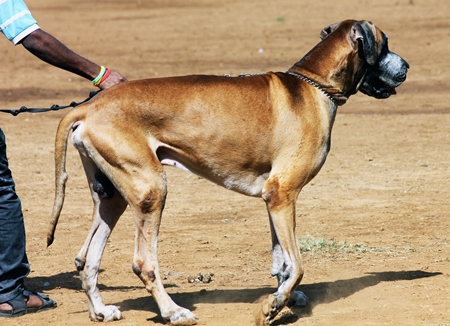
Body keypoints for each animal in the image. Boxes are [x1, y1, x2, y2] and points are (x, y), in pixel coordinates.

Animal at [48, 19, 408, 324]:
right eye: (385, 43)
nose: (406, 67)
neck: (313, 85)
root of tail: (88, 107)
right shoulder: (283, 194)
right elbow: (298, 265)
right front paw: (274, 305)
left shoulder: (273, 198)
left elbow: (282, 262)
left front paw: (284, 296)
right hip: (151, 190)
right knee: (143, 263)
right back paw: (173, 312)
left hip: (114, 196)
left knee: (87, 259)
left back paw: (100, 310)